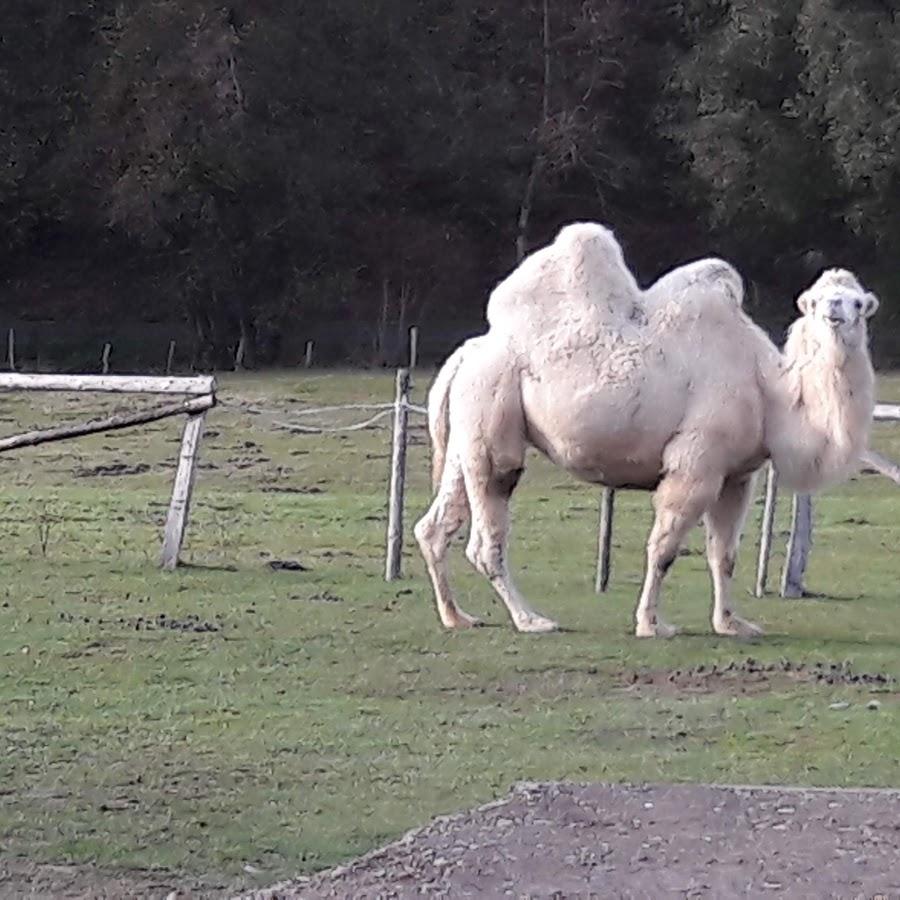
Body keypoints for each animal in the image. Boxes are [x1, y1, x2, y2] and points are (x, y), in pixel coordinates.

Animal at [416, 221, 880, 636]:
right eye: (816, 302)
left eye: (857, 302)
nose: (835, 311)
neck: (770, 390)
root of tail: (465, 355)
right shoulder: (696, 463)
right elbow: (664, 550)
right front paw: (651, 624)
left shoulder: (736, 474)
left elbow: (724, 554)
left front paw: (732, 624)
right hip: (492, 409)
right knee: (485, 534)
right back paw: (531, 620)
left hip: (468, 432)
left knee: (436, 525)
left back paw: (457, 616)